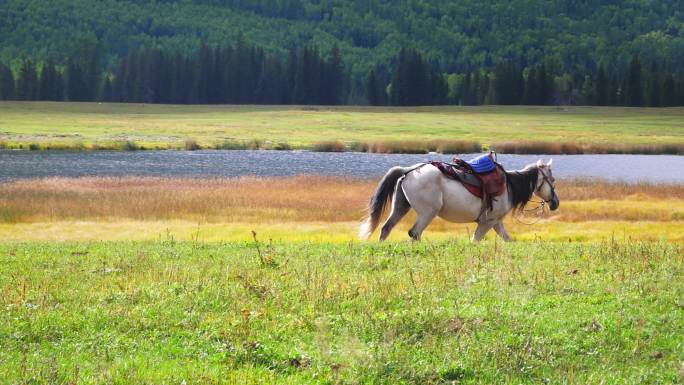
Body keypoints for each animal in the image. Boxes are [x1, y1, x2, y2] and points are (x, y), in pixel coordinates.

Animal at [360, 159, 560, 240]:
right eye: (553, 180)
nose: (555, 203)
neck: (508, 186)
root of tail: (408, 171)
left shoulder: (496, 223)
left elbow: (507, 239)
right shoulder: (487, 222)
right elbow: (475, 239)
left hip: (401, 206)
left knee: (386, 228)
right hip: (427, 213)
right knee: (415, 233)